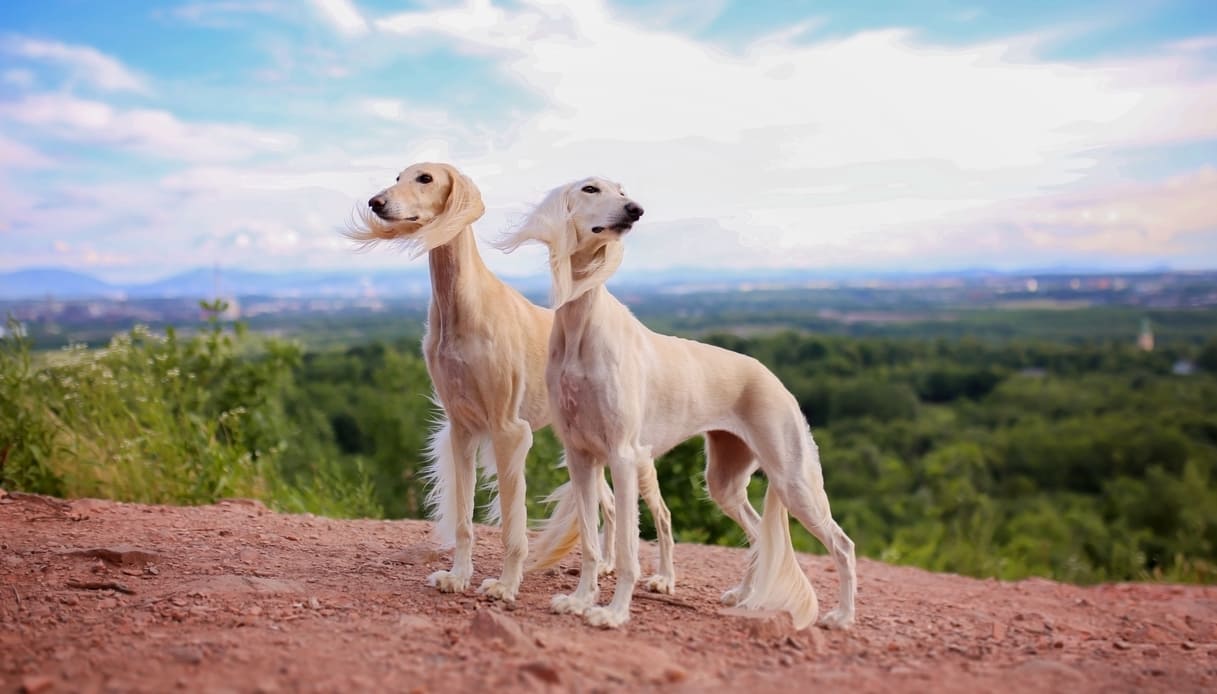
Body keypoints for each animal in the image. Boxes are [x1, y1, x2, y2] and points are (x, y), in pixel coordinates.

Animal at [348, 161, 681, 599]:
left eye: (425, 179)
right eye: (398, 177)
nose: (376, 202)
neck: (463, 304)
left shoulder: (508, 430)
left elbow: (511, 523)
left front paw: (505, 585)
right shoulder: (462, 428)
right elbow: (464, 518)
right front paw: (458, 576)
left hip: (632, 449)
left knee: (662, 513)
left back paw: (664, 577)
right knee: (608, 503)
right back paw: (607, 564)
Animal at [498, 176, 861, 628]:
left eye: (622, 191)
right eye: (590, 189)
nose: (635, 210)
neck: (582, 323)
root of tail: (777, 381)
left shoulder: (622, 455)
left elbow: (627, 548)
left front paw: (613, 612)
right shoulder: (581, 456)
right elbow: (590, 542)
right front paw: (580, 599)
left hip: (793, 478)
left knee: (842, 545)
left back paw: (842, 616)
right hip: (725, 480)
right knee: (760, 535)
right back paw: (745, 594)